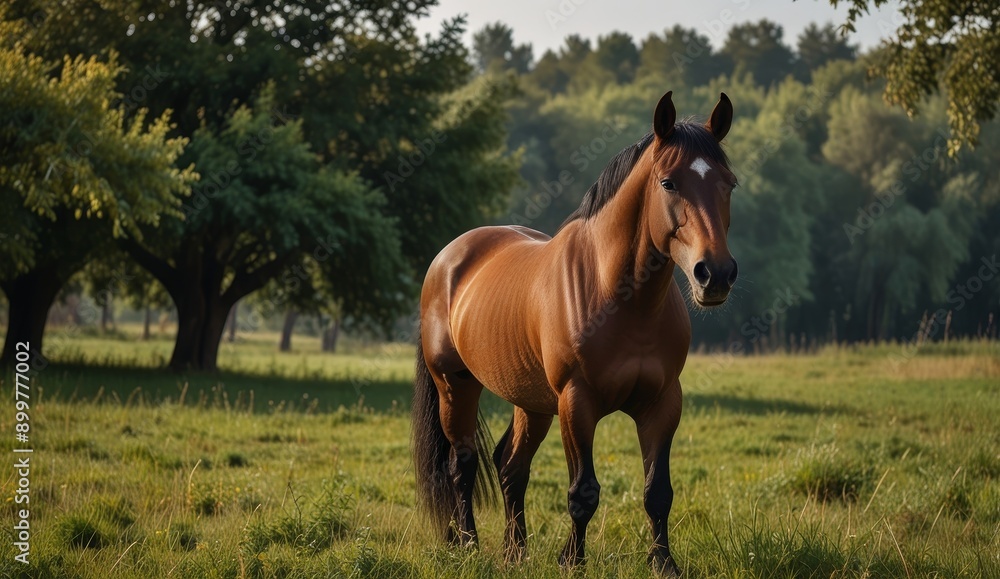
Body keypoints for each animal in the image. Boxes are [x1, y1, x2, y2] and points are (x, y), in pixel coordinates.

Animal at [412, 90, 738, 576]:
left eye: (729, 183)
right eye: (668, 183)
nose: (714, 274)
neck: (621, 299)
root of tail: (447, 259)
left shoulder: (663, 404)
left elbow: (657, 491)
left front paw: (664, 563)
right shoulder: (576, 402)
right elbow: (583, 491)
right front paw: (572, 561)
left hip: (530, 401)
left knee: (511, 467)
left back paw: (515, 552)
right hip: (456, 386)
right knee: (461, 466)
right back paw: (466, 544)